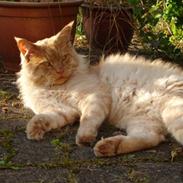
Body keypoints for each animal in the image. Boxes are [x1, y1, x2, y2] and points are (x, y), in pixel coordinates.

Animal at [15, 21, 183, 156]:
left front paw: (84, 138)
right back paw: (108, 146)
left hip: (172, 110)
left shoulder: (95, 97)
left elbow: (87, 119)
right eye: (48, 64)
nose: (60, 70)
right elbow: (42, 118)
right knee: (151, 138)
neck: (55, 88)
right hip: (143, 121)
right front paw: (33, 130)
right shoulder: (62, 111)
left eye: (64, 58)